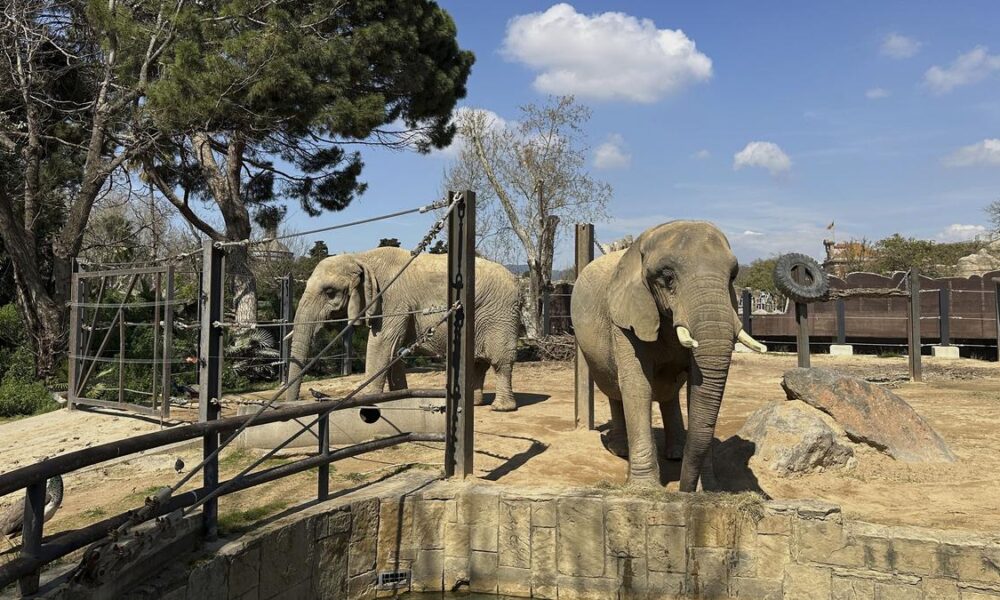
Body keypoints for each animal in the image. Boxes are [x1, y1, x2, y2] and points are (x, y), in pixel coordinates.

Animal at [286, 247, 522, 411]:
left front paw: (366, 401)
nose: (298, 402)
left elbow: (382, 344)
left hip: (499, 315)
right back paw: (474, 403)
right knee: (477, 363)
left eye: (329, 292)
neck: (362, 257)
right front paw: (399, 396)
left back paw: (501, 408)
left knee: (500, 361)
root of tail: (517, 280)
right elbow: (394, 350)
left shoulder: (392, 299)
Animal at [570, 221, 767, 492]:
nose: (684, 491)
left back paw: (676, 453)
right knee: (614, 389)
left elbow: (697, 387)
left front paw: (709, 490)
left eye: (733, 276)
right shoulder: (624, 317)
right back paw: (621, 450)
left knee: (669, 393)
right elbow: (637, 385)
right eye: (668, 278)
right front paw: (645, 490)